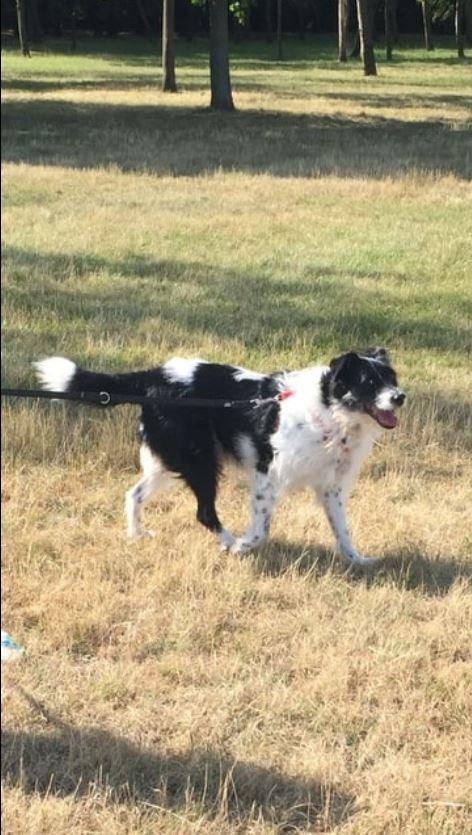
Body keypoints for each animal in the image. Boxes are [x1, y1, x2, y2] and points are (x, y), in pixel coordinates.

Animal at [34, 348, 405, 566]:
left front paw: (357, 559)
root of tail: (156, 374)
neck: (329, 409)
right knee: (204, 513)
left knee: (133, 494)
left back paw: (137, 535)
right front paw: (243, 546)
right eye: (368, 382)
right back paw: (228, 542)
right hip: (200, 464)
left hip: (168, 463)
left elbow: (342, 529)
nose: (400, 396)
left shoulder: (331, 487)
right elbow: (260, 530)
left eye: (392, 378)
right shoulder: (267, 477)